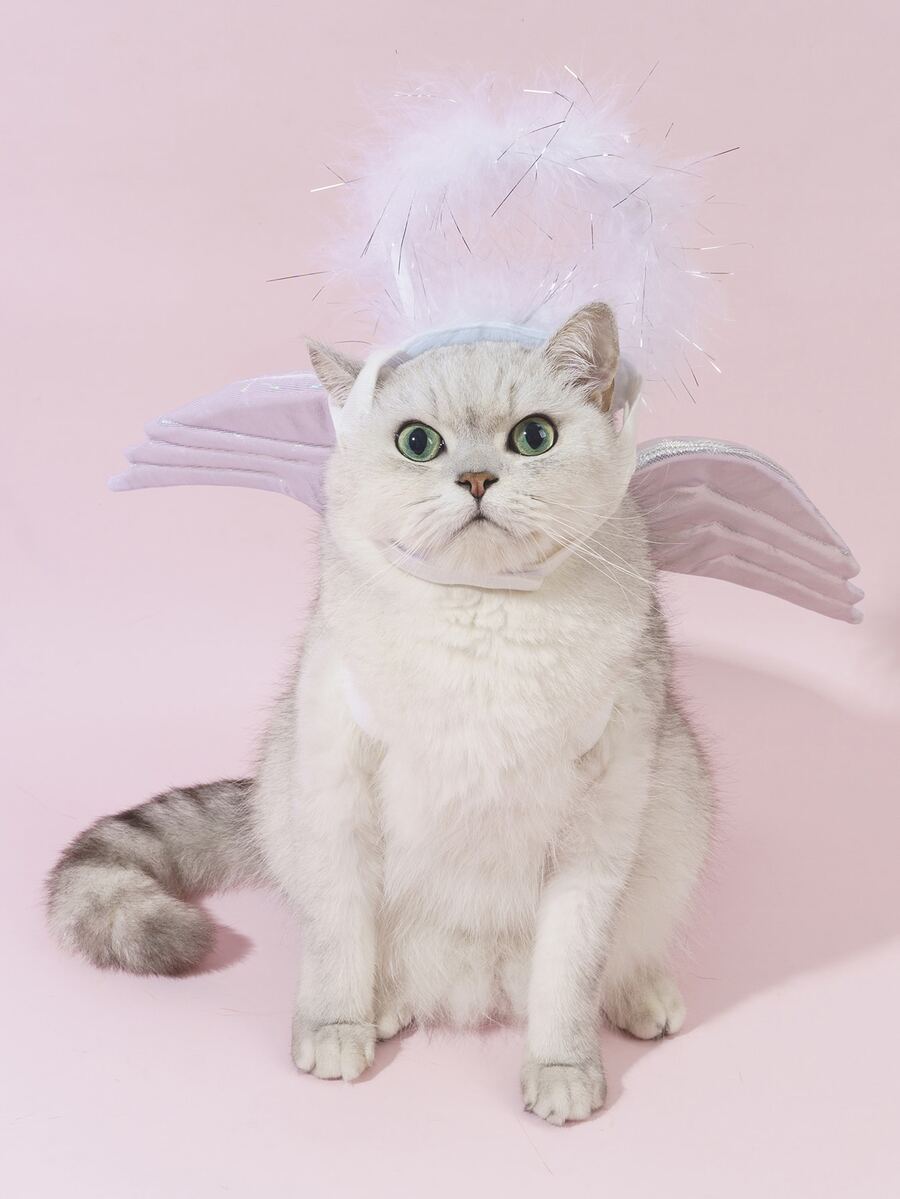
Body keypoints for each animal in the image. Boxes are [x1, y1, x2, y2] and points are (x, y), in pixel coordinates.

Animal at [46, 302, 714, 1125]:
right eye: (417, 442)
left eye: (534, 436)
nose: (477, 478)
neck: (481, 618)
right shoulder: (337, 786)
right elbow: (340, 937)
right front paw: (336, 1026)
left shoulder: (600, 826)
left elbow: (569, 973)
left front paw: (563, 1068)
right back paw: (385, 1005)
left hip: (676, 822)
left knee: (618, 954)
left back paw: (638, 996)